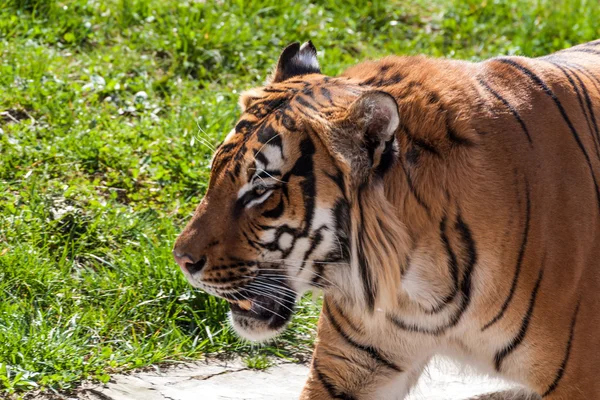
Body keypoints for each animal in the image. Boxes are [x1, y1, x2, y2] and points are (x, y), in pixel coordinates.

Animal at [171, 38, 600, 400]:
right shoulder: (354, 364)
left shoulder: (579, 380)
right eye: (215, 173)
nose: (181, 260)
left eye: (260, 189)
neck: (420, 288)